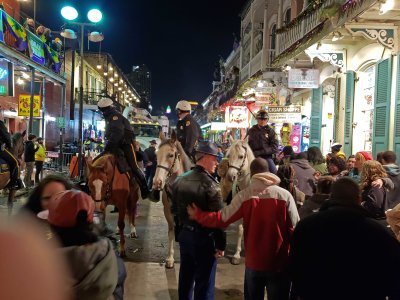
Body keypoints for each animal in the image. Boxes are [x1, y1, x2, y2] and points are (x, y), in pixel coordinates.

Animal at [152, 131, 192, 268]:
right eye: (156, 154)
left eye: (170, 155)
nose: (157, 182)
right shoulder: (168, 211)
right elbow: (171, 232)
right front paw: (170, 258)